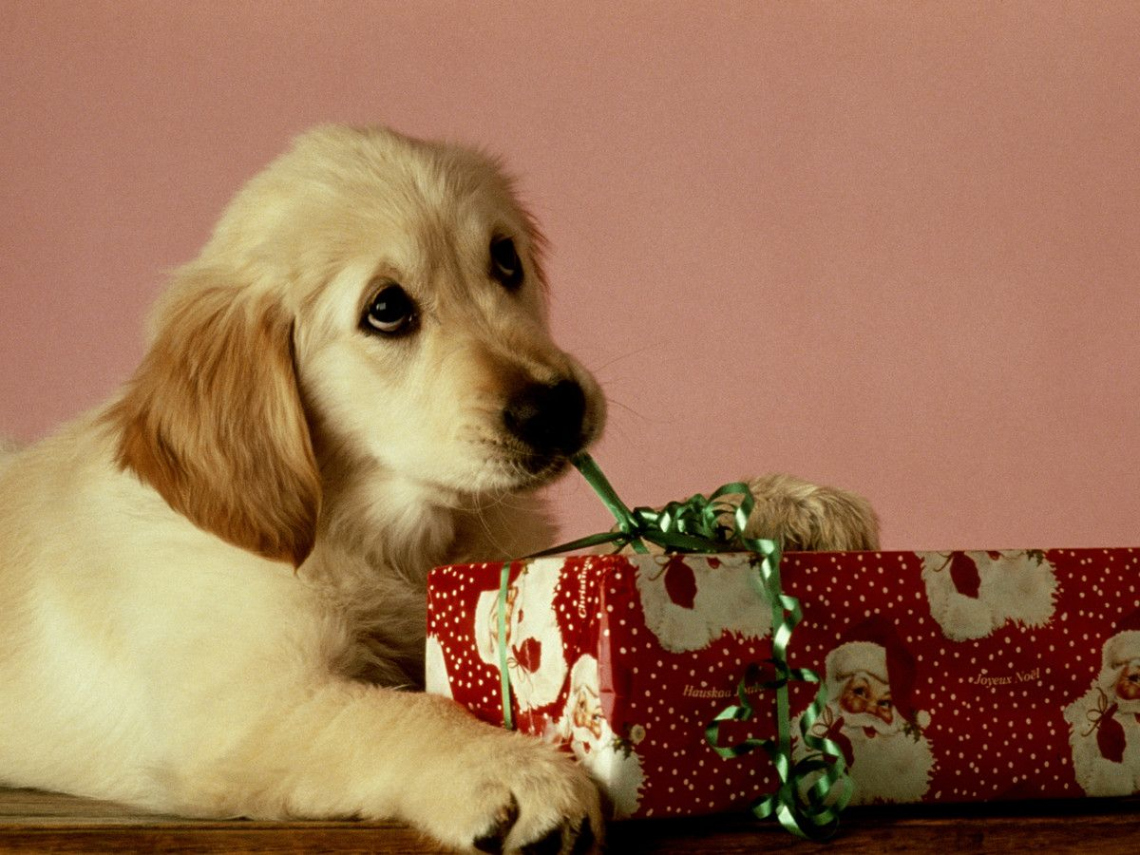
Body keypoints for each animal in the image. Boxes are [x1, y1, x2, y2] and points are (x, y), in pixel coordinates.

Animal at [0, 123, 875, 852]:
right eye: (387, 309)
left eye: (506, 259)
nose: (557, 407)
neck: (379, 531)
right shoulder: (239, 708)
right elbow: (393, 710)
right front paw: (514, 771)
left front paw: (779, 505)